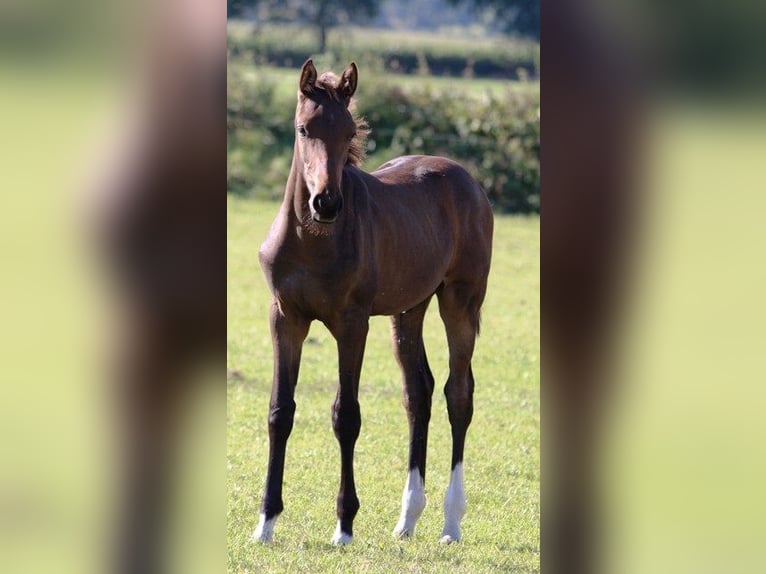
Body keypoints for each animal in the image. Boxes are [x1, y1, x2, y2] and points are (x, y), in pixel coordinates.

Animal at [253, 59, 493, 546]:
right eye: (304, 129)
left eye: (349, 131)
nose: (326, 203)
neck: (313, 241)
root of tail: (469, 181)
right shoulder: (285, 319)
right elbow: (279, 412)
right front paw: (265, 522)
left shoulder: (352, 324)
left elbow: (346, 415)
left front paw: (344, 525)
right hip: (409, 310)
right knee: (417, 393)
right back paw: (408, 519)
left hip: (460, 302)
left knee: (458, 394)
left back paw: (451, 522)